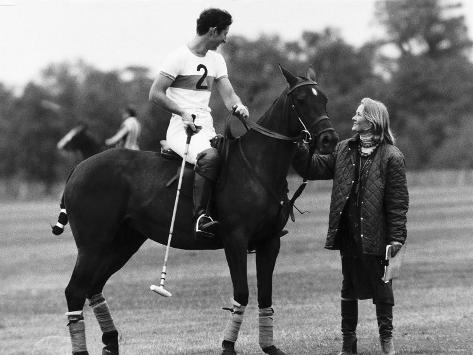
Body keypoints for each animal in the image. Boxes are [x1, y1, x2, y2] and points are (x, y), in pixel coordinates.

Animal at [53, 66, 338, 354]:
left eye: (324, 99)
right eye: (301, 100)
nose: (329, 139)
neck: (257, 166)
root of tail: (77, 169)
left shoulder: (269, 241)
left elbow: (265, 294)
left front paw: (269, 347)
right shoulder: (235, 239)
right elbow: (242, 292)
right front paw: (227, 346)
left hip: (123, 242)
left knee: (92, 287)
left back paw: (111, 342)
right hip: (93, 245)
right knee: (74, 290)